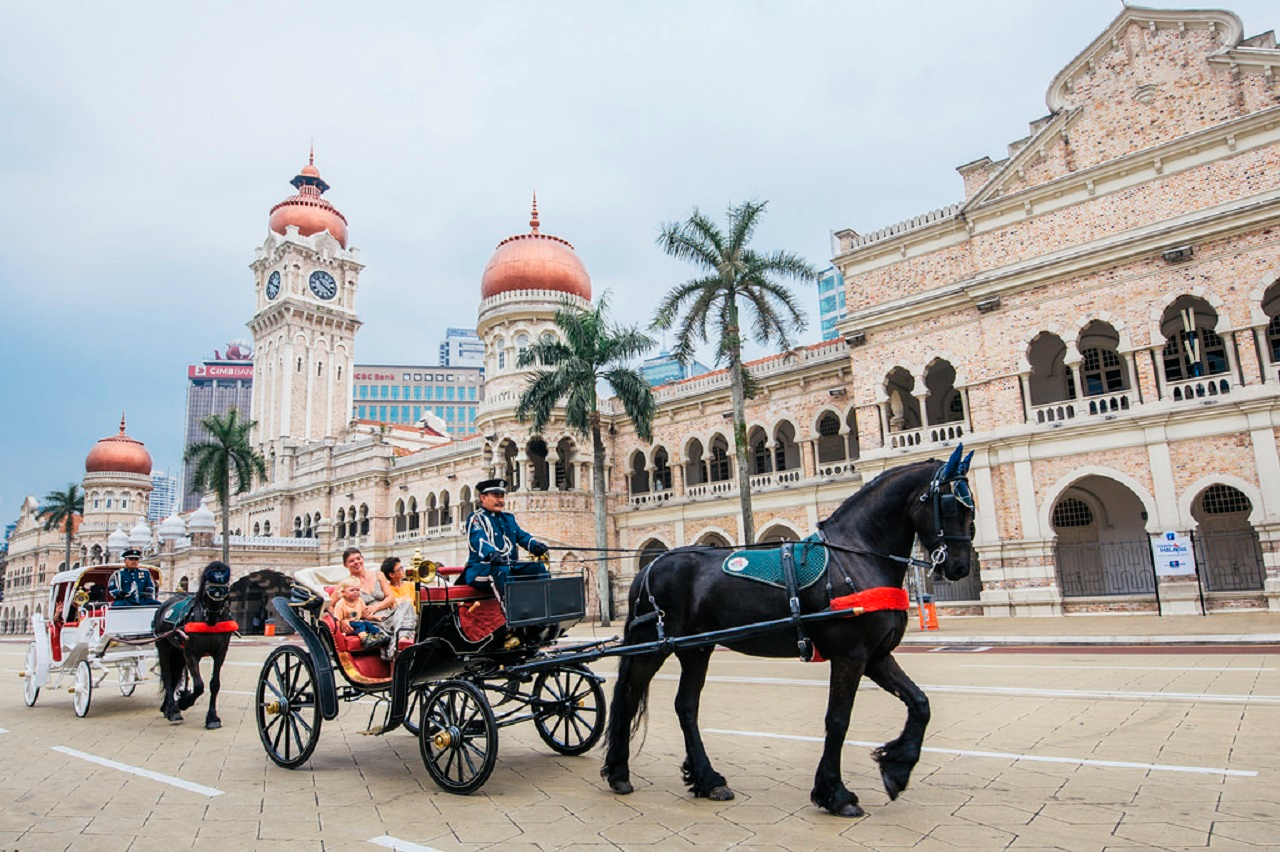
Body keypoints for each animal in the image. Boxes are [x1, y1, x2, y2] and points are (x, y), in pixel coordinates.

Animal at [153, 560, 236, 726]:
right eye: (210, 579)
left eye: (225, 580)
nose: (218, 595)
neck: (210, 620)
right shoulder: (191, 654)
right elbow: (199, 685)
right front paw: (184, 702)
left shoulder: (220, 653)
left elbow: (214, 684)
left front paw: (212, 717)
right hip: (163, 646)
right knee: (167, 675)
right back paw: (173, 710)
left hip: (178, 652)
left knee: (174, 675)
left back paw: (167, 708)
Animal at [604, 440, 972, 813]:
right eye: (950, 503)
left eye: (970, 504)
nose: (959, 567)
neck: (856, 555)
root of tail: (647, 568)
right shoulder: (850, 656)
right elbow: (838, 720)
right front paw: (835, 794)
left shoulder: (876, 656)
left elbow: (920, 703)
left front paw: (896, 768)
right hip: (652, 646)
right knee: (629, 697)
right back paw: (619, 772)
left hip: (697, 648)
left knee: (686, 706)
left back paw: (708, 780)